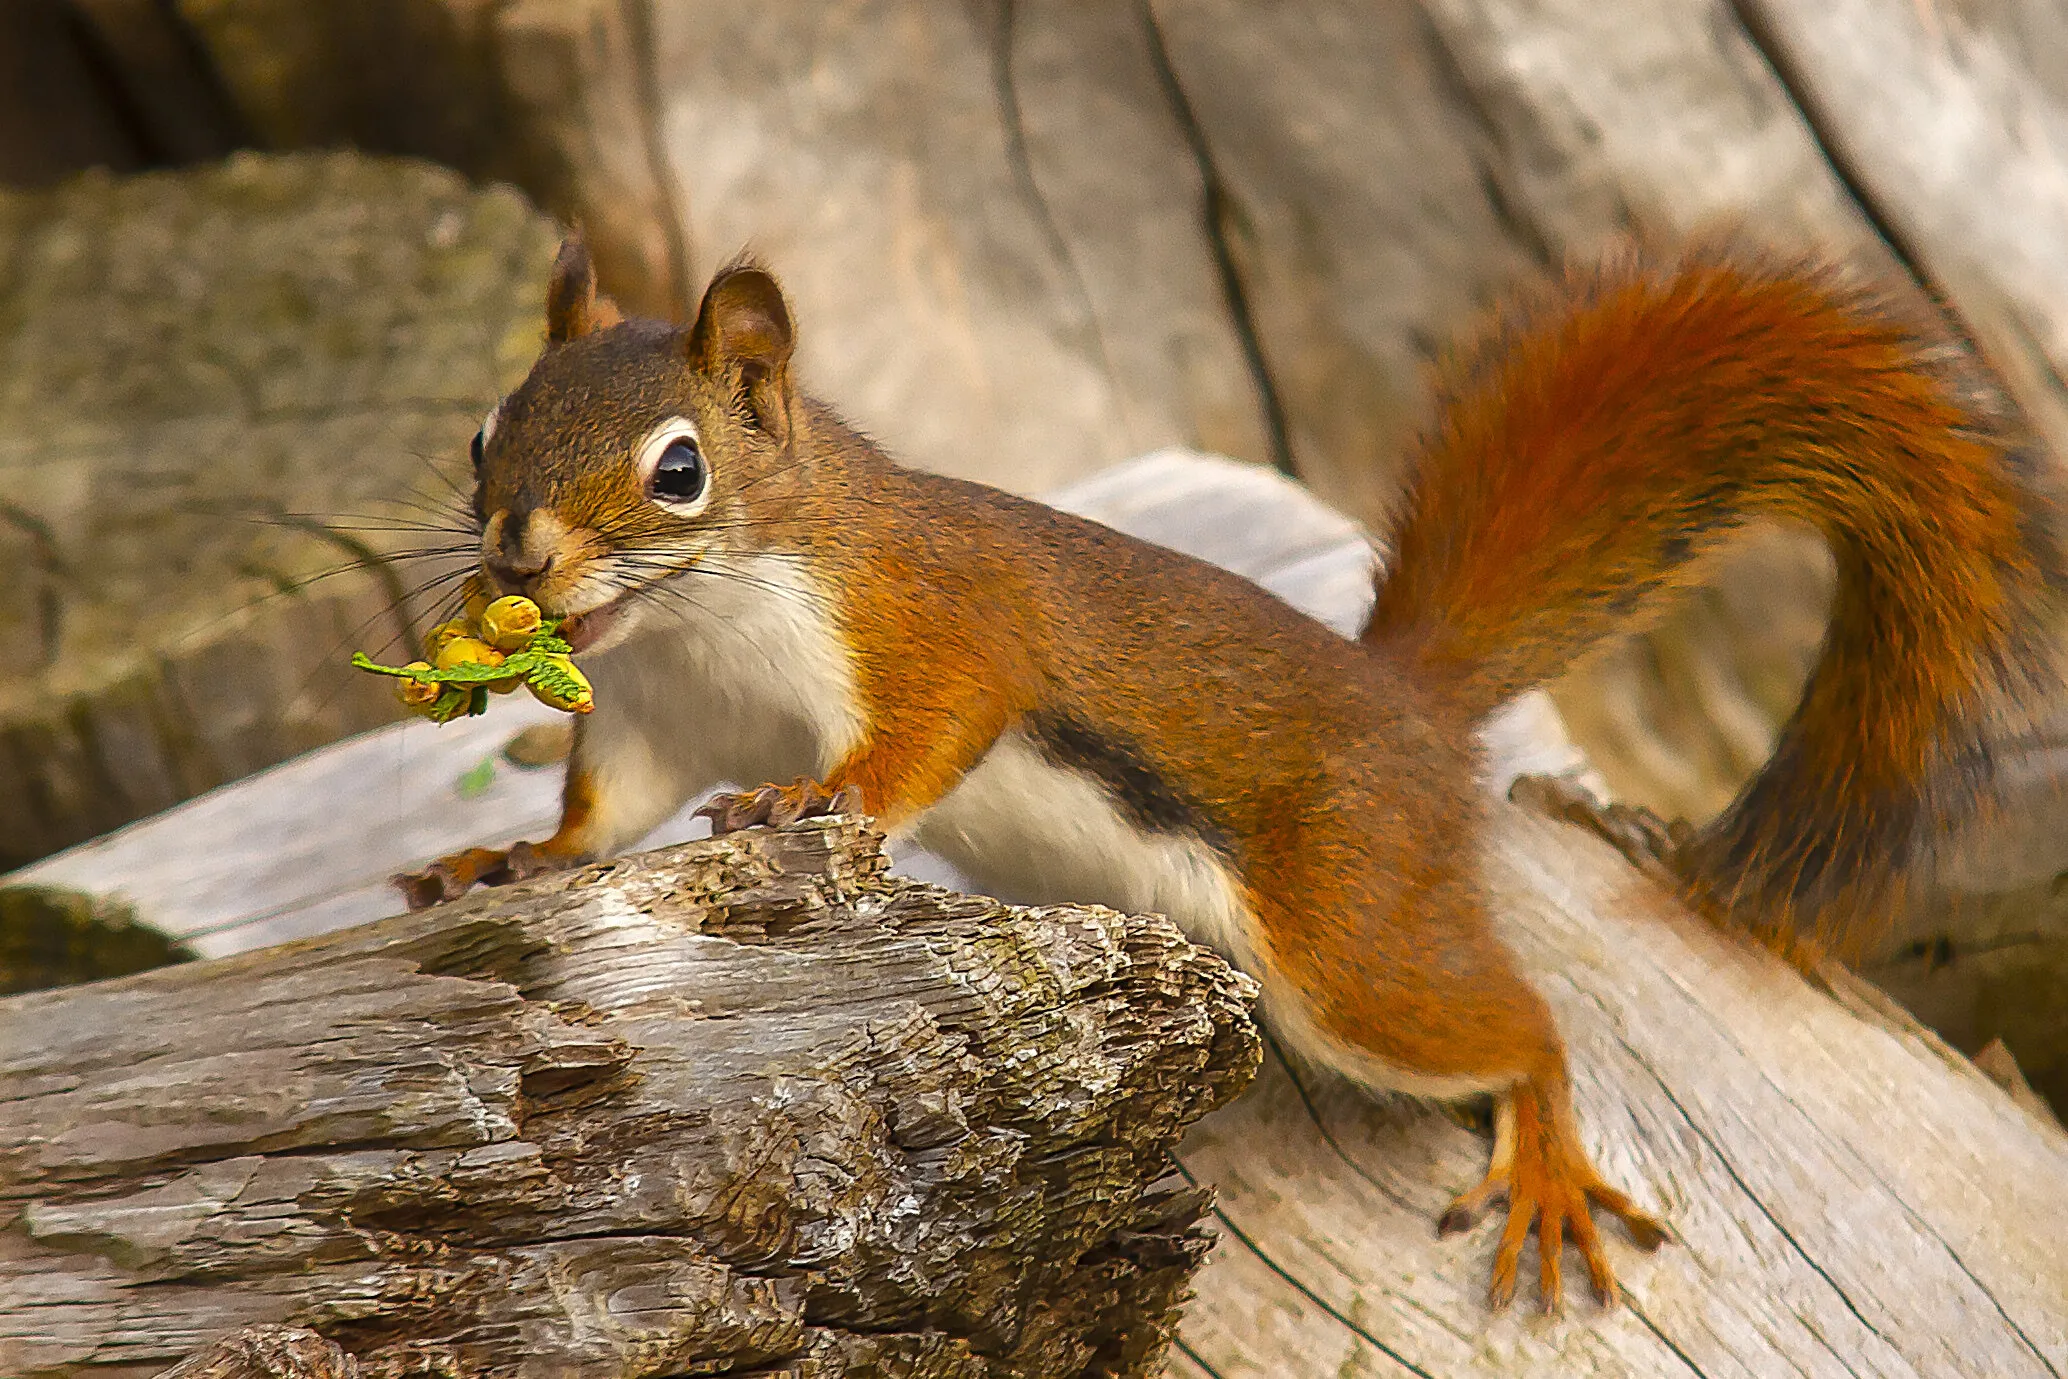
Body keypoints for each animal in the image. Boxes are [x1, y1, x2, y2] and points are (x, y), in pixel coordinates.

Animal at [396, 235, 2064, 1312]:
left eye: (678, 468)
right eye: (481, 432)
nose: (514, 555)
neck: (703, 619)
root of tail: (1407, 705)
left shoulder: (932, 627)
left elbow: (917, 738)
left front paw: (812, 802)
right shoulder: (650, 718)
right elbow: (599, 816)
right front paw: (505, 861)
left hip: (1347, 929)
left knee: (1519, 1030)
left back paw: (1544, 1159)